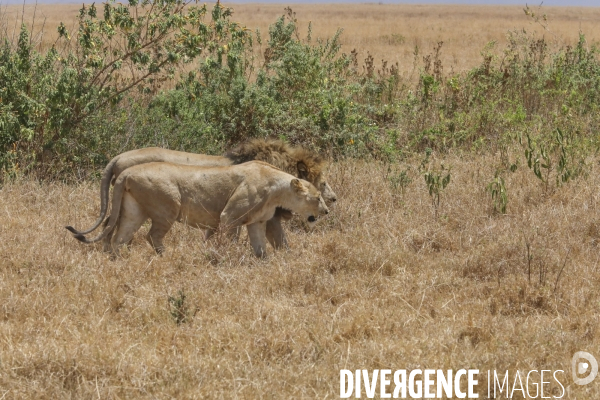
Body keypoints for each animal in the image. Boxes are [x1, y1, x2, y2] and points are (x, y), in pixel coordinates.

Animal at [72, 161, 330, 258]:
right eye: (318, 197)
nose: (327, 211)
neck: (277, 189)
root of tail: (126, 171)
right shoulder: (229, 216)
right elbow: (227, 240)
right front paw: (223, 257)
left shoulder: (256, 222)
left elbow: (260, 248)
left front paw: (263, 262)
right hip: (168, 207)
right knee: (151, 236)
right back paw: (167, 257)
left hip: (133, 211)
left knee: (120, 237)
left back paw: (119, 260)